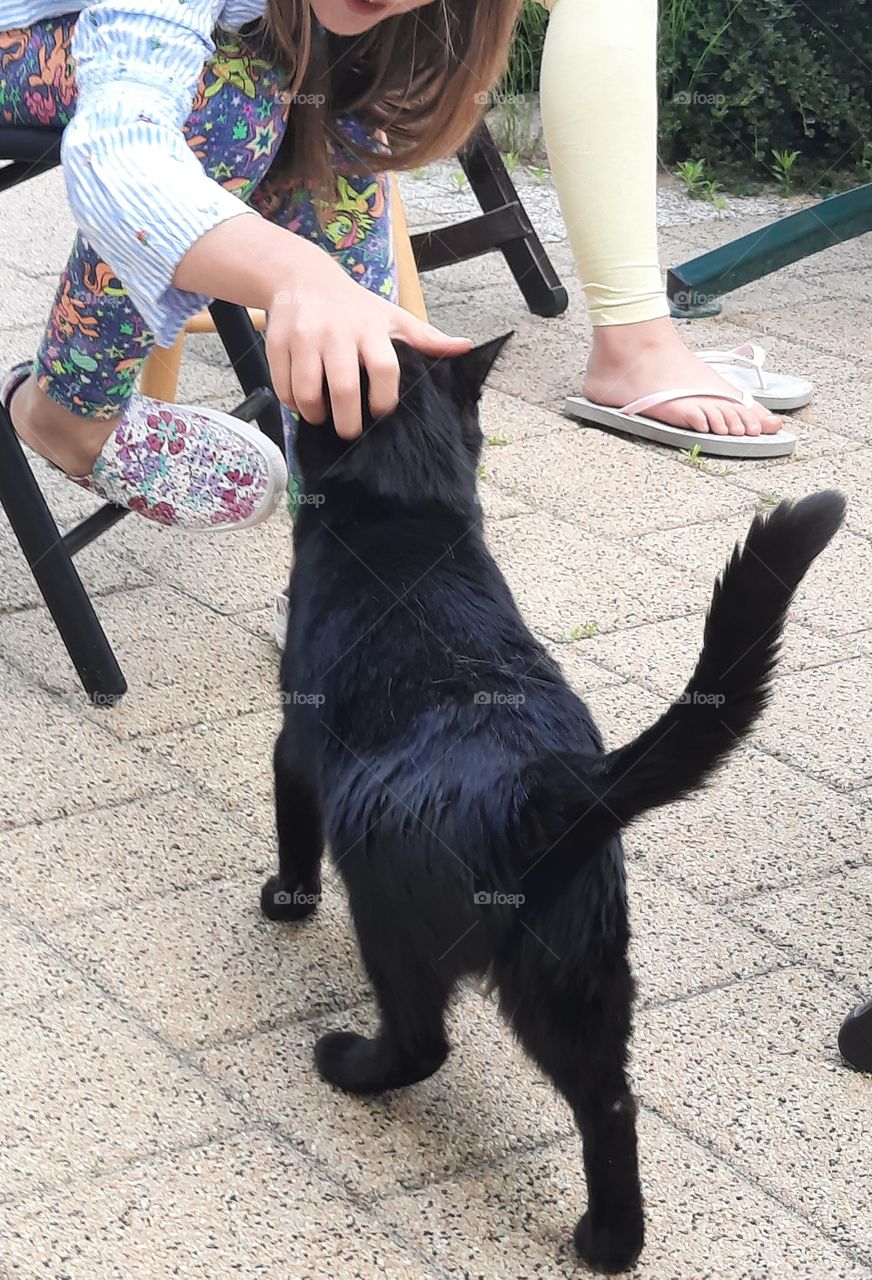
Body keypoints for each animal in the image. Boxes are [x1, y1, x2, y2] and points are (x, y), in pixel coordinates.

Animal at [259, 335, 845, 1274]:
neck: (409, 513)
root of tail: (556, 786)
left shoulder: (293, 743)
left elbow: (290, 831)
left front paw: (283, 901)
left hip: (391, 913)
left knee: (424, 1042)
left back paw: (347, 1063)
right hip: (576, 978)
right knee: (611, 1105)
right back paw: (610, 1243)